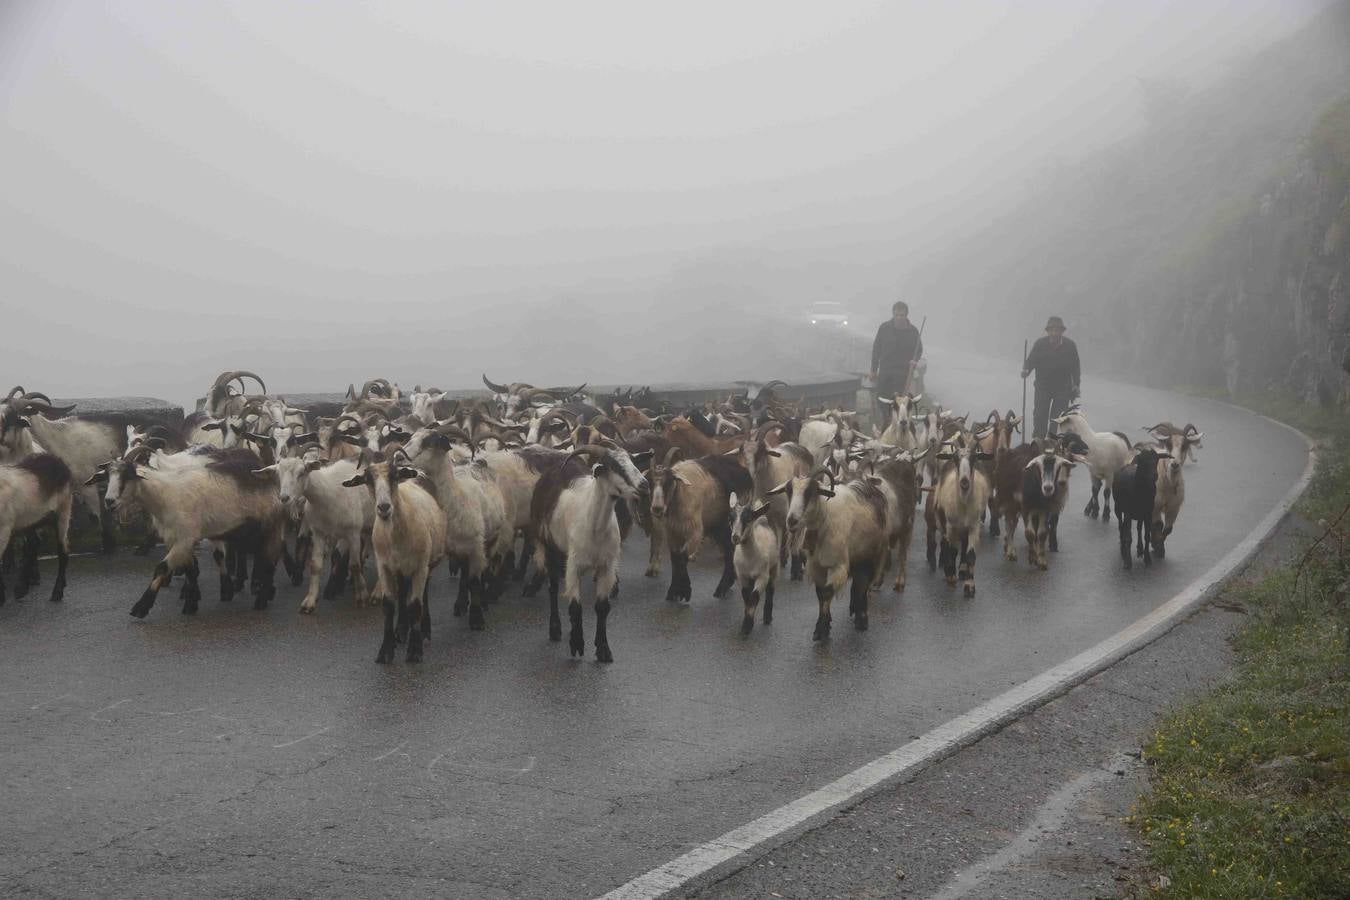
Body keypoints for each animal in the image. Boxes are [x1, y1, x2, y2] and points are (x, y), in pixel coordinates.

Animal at [340, 458, 445, 661]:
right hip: (401, 568)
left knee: (424, 594)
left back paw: (424, 630)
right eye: (368, 480)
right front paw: (386, 650)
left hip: (428, 563)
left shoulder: (420, 566)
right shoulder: (385, 566)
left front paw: (415, 650)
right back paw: (401, 630)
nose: (384, 508)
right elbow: (389, 605)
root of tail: (417, 471)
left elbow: (416, 605)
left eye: (395, 476)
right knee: (403, 592)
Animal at [529, 442, 650, 661]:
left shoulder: (607, 567)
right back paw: (555, 629)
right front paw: (577, 644)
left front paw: (603, 649)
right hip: (550, 546)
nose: (645, 486)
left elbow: (602, 608)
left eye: (633, 461)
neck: (595, 528)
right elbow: (575, 608)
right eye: (614, 466)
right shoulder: (573, 566)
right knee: (552, 588)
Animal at [729, 496, 783, 636]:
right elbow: (746, 596)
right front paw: (748, 622)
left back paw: (767, 617)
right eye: (730, 519)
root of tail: (762, 519)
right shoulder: (742, 575)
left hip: (775, 566)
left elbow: (754, 597)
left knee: (771, 590)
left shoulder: (763, 576)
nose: (735, 537)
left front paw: (746, 627)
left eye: (748, 519)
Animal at [766, 472, 891, 639]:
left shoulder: (839, 566)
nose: (792, 521)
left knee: (863, 584)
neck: (825, 521)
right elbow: (820, 594)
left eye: (810, 492)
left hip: (870, 556)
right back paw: (854, 608)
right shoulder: (816, 566)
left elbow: (827, 592)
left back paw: (861, 618)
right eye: (788, 491)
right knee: (858, 584)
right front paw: (824, 625)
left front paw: (821, 629)